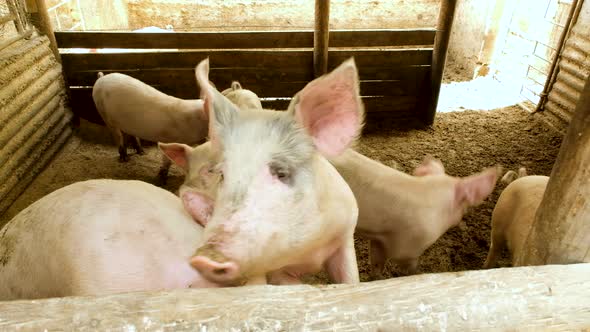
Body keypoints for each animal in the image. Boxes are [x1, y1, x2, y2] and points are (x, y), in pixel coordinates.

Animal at [161, 57, 366, 286]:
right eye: (222, 175)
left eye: (281, 173)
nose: (206, 257)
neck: (310, 251)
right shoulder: (275, 272)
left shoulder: (346, 235)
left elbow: (351, 280)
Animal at [330, 151, 502, 278]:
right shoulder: (408, 248)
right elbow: (408, 265)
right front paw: (416, 274)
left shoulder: (379, 239)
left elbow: (377, 262)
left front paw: (376, 278)